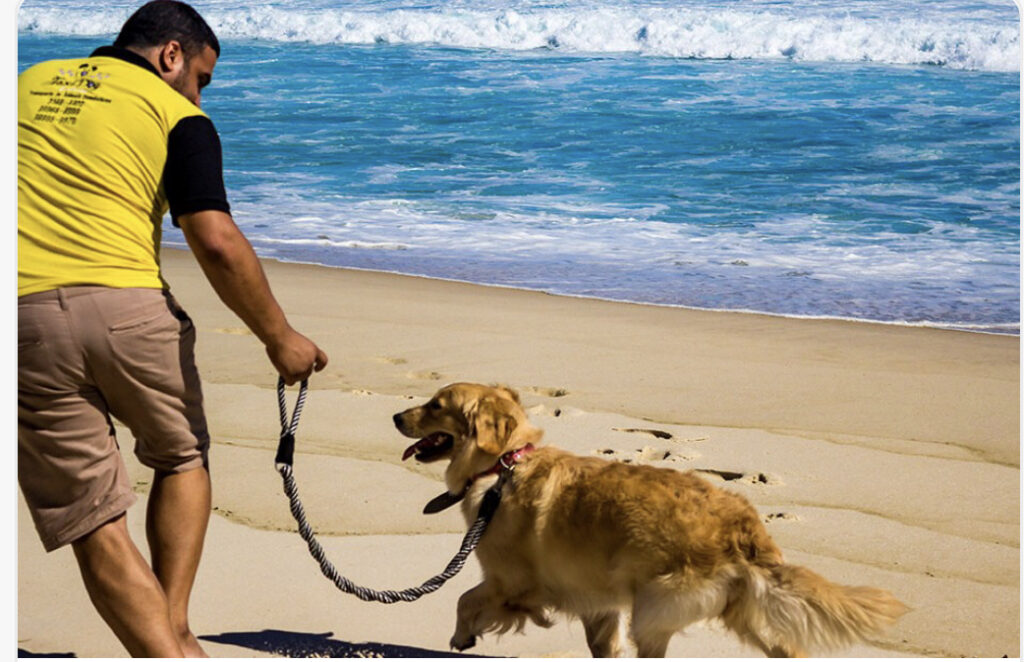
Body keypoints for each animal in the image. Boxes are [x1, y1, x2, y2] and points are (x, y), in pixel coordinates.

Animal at [393, 383, 913, 659]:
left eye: (437, 404)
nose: (397, 415)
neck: (504, 464)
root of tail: (743, 526)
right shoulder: (598, 601)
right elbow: (602, 643)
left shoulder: (512, 581)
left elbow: (464, 598)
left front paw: (462, 635)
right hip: (741, 612)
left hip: (654, 608)